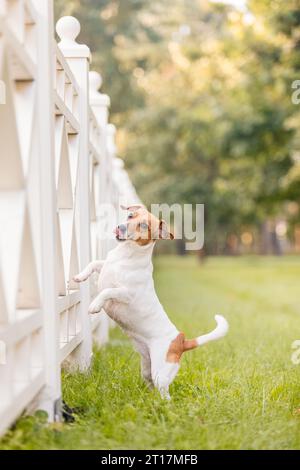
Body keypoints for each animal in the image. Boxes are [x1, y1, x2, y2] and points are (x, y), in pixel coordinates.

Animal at [74, 206, 229, 400]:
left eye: (143, 225)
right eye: (130, 215)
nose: (120, 227)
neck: (126, 255)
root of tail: (180, 341)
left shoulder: (126, 294)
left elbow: (107, 291)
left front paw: (95, 305)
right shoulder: (104, 268)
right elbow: (94, 264)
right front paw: (78, 277)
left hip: (160, 374)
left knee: (165, 395)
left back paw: (162, 404)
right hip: (147, 369)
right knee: (151, 385)